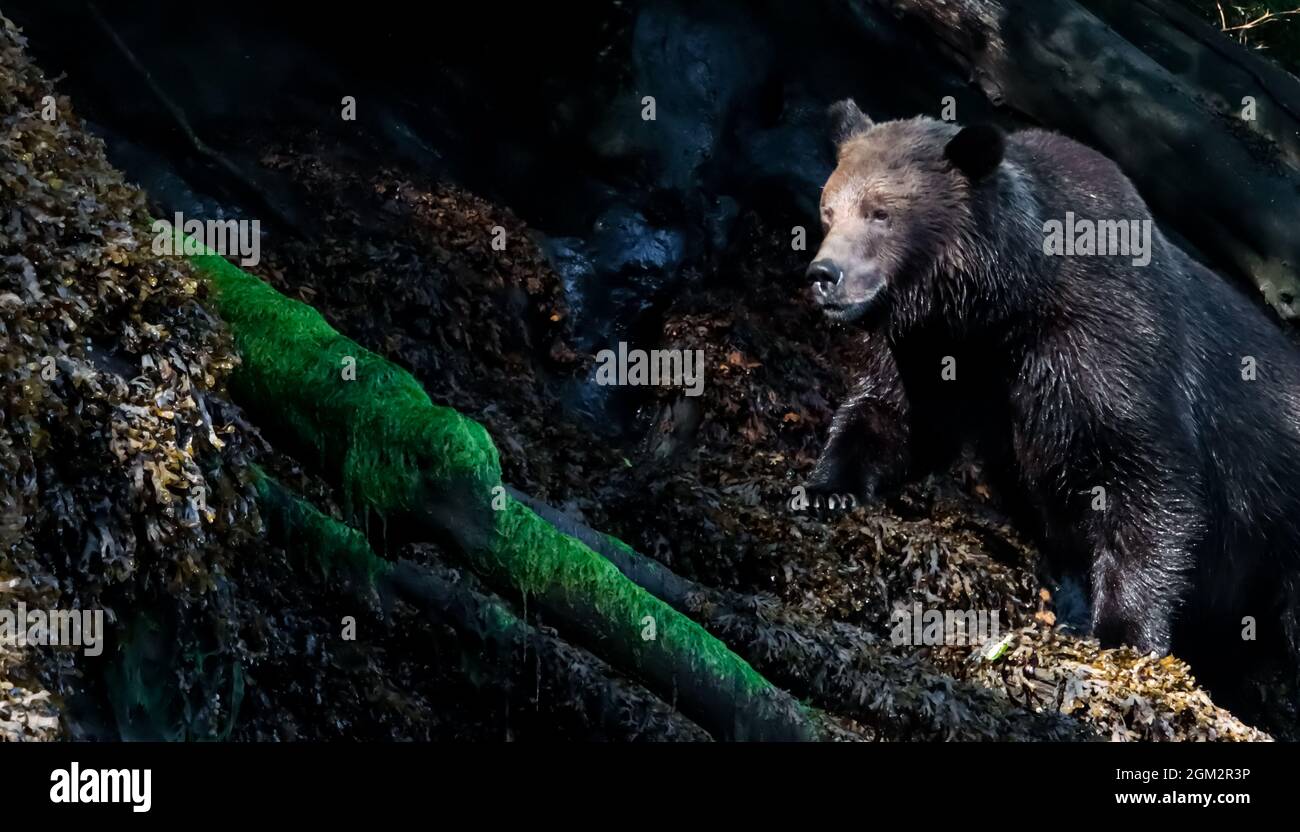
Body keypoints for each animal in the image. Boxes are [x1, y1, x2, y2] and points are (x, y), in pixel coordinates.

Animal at [806, 97, 1294, 676]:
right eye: (828, 209)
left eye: (881, 212)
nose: (824, 274)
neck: (1001, 308)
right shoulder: (935, 351)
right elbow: (892, 415)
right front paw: (826, 488)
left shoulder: (1105, 347)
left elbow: (1148, 483)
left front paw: (1125, 630)